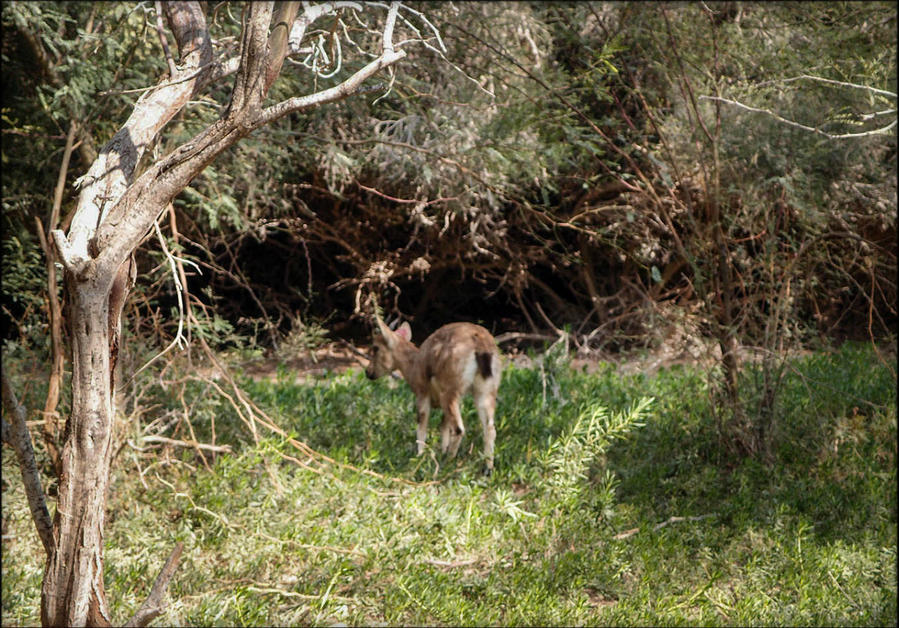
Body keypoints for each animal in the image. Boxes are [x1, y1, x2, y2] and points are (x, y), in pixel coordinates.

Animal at [366, 316, 506, 474]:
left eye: (375, 347)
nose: (368, 372)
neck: (413, 366)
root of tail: (481, 345)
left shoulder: (422, 392)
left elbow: (422, 424)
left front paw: (419, 455)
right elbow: (443, 425)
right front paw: (441, 450)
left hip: (450, 391)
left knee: (459, 428)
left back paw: (448, 464)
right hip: (486, 390)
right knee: (489, 428)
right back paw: (488, 468)